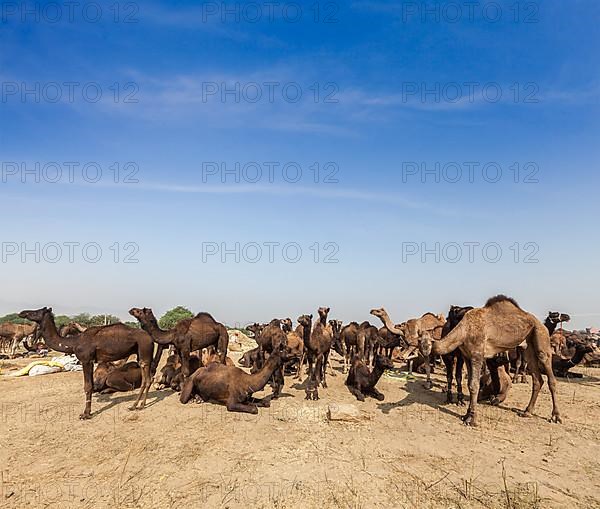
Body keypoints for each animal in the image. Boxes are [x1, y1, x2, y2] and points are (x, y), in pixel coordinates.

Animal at [18, 308, 155, 418]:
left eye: (36, 312)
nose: (22, 312)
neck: (73, 342)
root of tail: (150, 337)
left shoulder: (86, 360)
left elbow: (88, 386)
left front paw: (86, 414)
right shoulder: (91, 362)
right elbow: (91, 385)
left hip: (144, 351)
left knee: (147, 378)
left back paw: (138, 405)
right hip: (140, 353)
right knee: (147, 378)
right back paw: (137, 405)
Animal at [418, 294, 564, 424]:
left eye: (426, 344)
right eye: (420, 343)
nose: (425, 357)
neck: (464, 329)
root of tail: (541, 324)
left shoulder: (477, 354)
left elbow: (474, 385)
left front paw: (472, 418)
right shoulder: (466, 356)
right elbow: (469, 383)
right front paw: (466, 415)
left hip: (541, 336)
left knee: (549, 375)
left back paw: (556, 416)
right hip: (528, 346)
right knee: (537, 378)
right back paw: (527, 411)